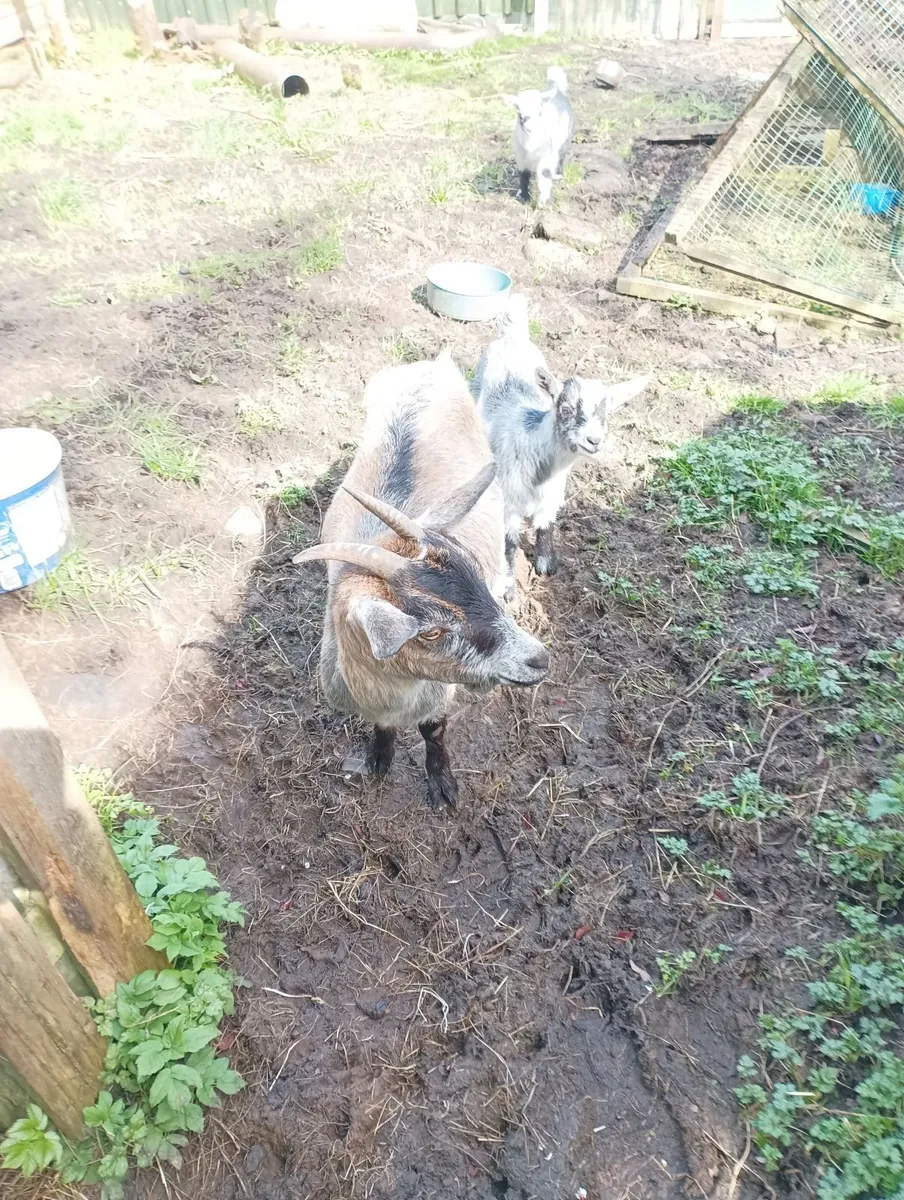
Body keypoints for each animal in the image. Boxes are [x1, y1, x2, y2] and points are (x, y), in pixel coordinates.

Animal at [294, 350, 550, 809]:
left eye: (477, 579)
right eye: (430, 631)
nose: (539, 659)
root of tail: (434, 363)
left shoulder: (438, 692)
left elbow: (434, 730)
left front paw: (442, 785)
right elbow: (381, 728)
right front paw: (378, 759)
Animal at [474, 294, 649, 599]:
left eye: (606, 415)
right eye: (565, 409)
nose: (593, 441)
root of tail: (512, 336)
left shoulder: (553, 495)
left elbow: (546, 526)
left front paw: (546, 566)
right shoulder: (509, 498)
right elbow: (509, 542)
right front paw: (508, 588)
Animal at [505, 66, 574, 207]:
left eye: (540, 112)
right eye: (520, 115)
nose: (531, 128)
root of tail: (557, 89)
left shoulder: (547, 155)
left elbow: (545, 173)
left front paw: (543, 202)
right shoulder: (520, 156)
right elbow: (523, 175)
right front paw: (523, 195)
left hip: (565, 138)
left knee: (561, 155)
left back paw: (558, 174)